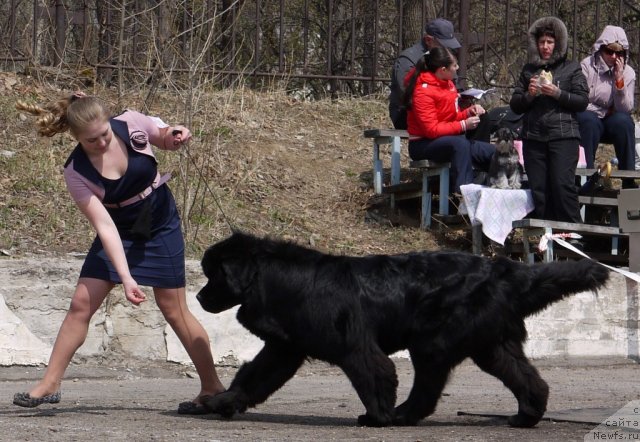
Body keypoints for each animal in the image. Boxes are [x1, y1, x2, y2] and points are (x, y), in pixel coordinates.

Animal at [199, 231, 608, 428]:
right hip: (492, 345)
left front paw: (377, 417)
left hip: (434, 343)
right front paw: (221, 402)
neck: (280, 279)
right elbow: (253, 377)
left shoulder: (354, 346)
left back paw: (399, 416)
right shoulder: (284, 348)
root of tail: (505, 270)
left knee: (427, 387)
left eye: (214, 275)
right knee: (526, 378)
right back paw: (526, 416)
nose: (200, 297)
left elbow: (374, 373)